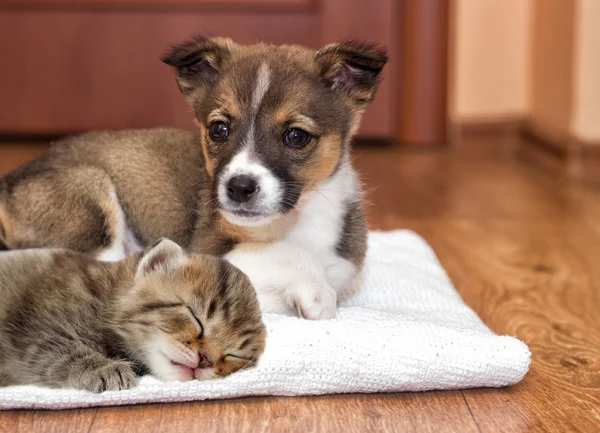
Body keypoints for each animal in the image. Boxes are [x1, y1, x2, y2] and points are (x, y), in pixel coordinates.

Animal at [0, 37, 390, 318]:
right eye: (219, 129)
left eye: (296, 136)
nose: (239, 187)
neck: (298, 220)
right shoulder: (208, 246)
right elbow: (287, 254)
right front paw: (315, 293)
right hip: (90, 197)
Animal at [0, 236, 264, 392]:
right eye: (195, 317)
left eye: (233, 354)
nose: (206, 361)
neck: (104, 292)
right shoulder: (36, 333)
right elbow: (63, 350)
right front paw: (103, 368)